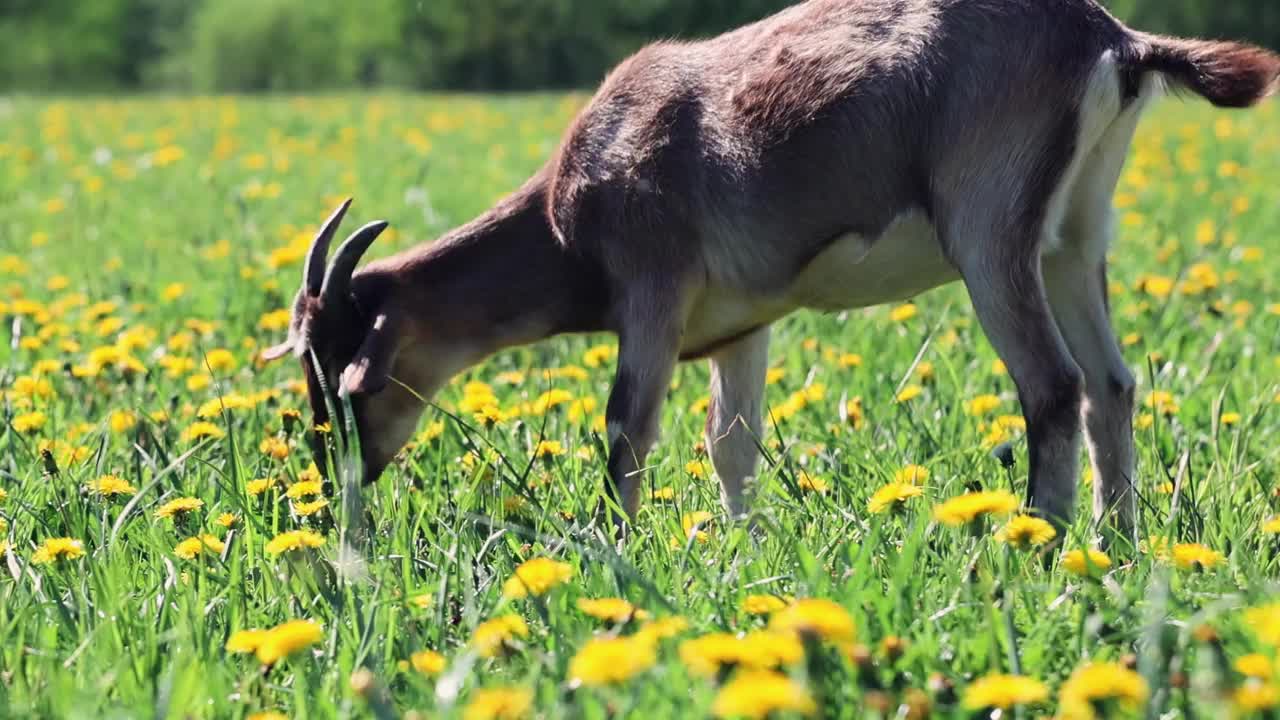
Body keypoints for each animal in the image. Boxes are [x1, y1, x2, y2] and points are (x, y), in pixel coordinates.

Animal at [264, 0, 1274, 538]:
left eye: (340, 366)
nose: (336, 479)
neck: (566, 211)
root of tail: (1112, 38)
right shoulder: (737, 326)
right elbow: (731, 445)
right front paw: (737, 553)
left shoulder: (653, 293)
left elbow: (625, 431)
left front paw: (618, 553)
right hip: (1072, 240)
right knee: (1111, 384)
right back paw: (1112, 542)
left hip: (992, 241)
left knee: (1053, 387)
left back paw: (1038, 541)